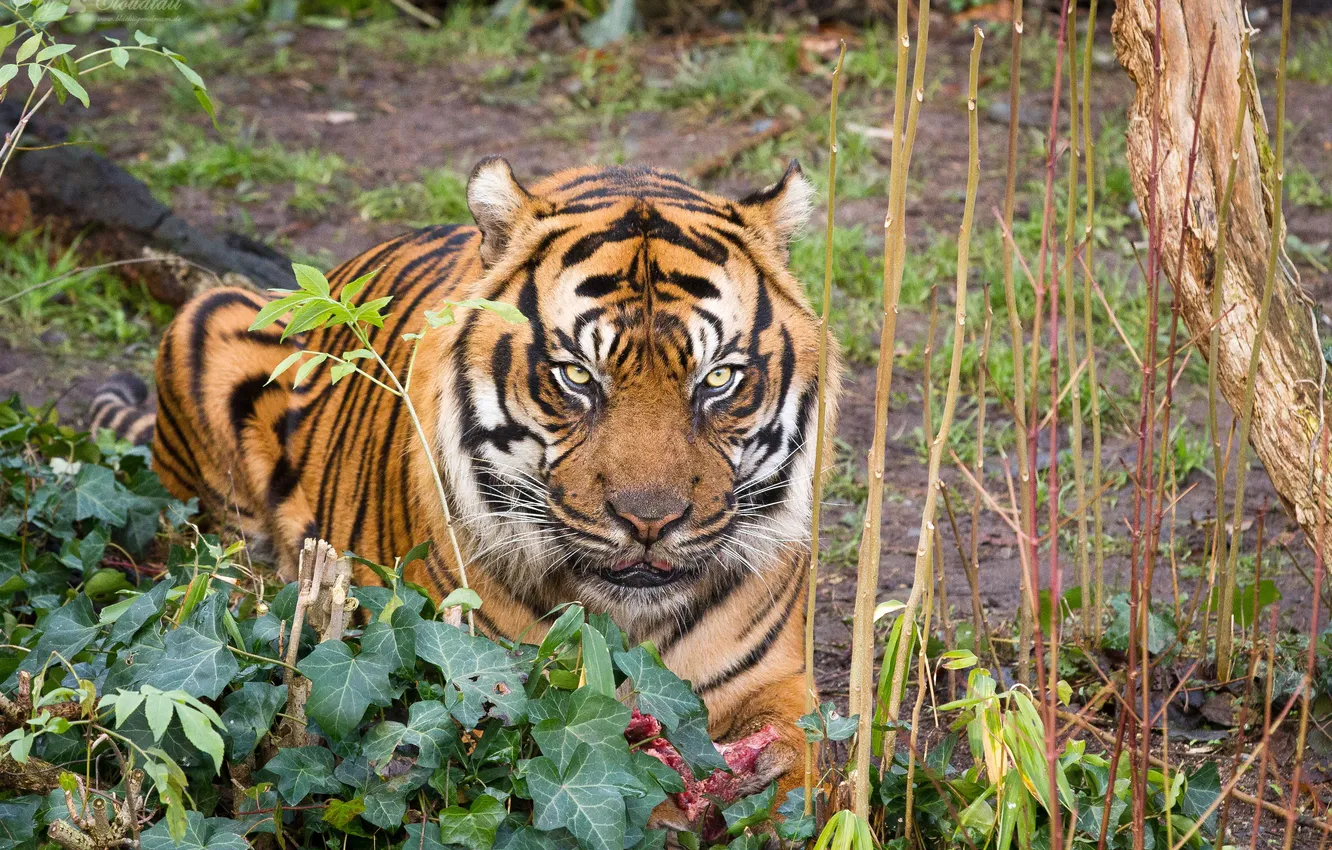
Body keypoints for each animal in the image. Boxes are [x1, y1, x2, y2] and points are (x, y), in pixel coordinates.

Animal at [91, 157, 841, 823]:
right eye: (576, 375)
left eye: (718, 380)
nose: (650, 521)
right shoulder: (473, 694)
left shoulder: (781, 683)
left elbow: (810, 767)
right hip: (209, 317)